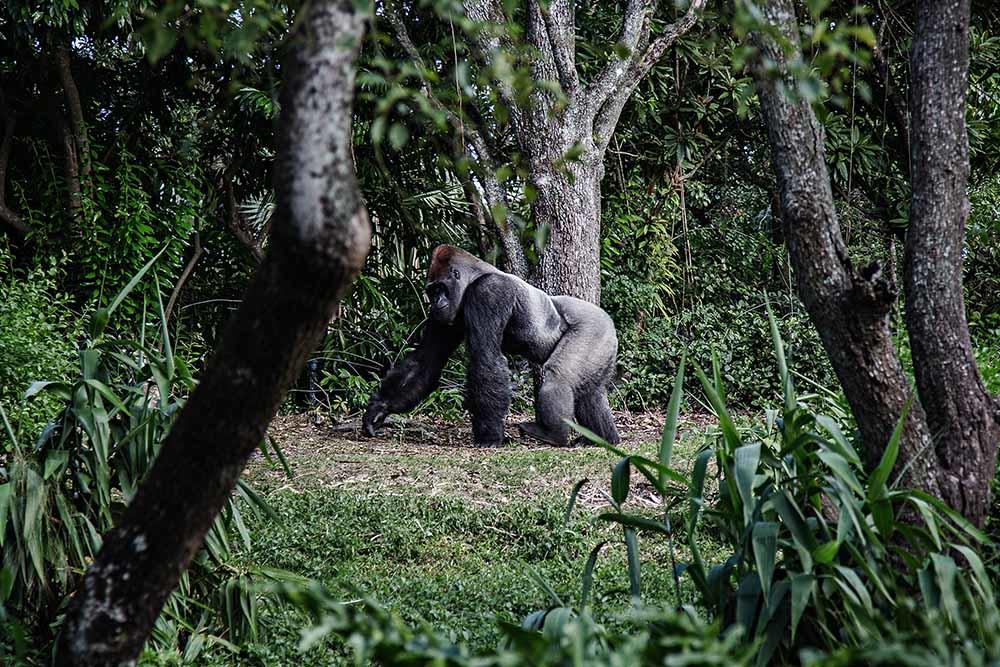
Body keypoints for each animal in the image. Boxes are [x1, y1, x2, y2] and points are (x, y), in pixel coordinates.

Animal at [362, 245, 620, 447]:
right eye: (431, 291)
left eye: (440, 289)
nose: (434, 303)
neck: (474, 276)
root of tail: (609, 321)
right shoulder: (445, 316)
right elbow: (427, 360)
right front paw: (379, 408)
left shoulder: (488, 292)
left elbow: (485, 357)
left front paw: (490, 436)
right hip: (603, 342)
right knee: (590, 392)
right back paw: (603, 438)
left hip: (593, 328)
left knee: (559, 376)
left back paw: (553, 434)